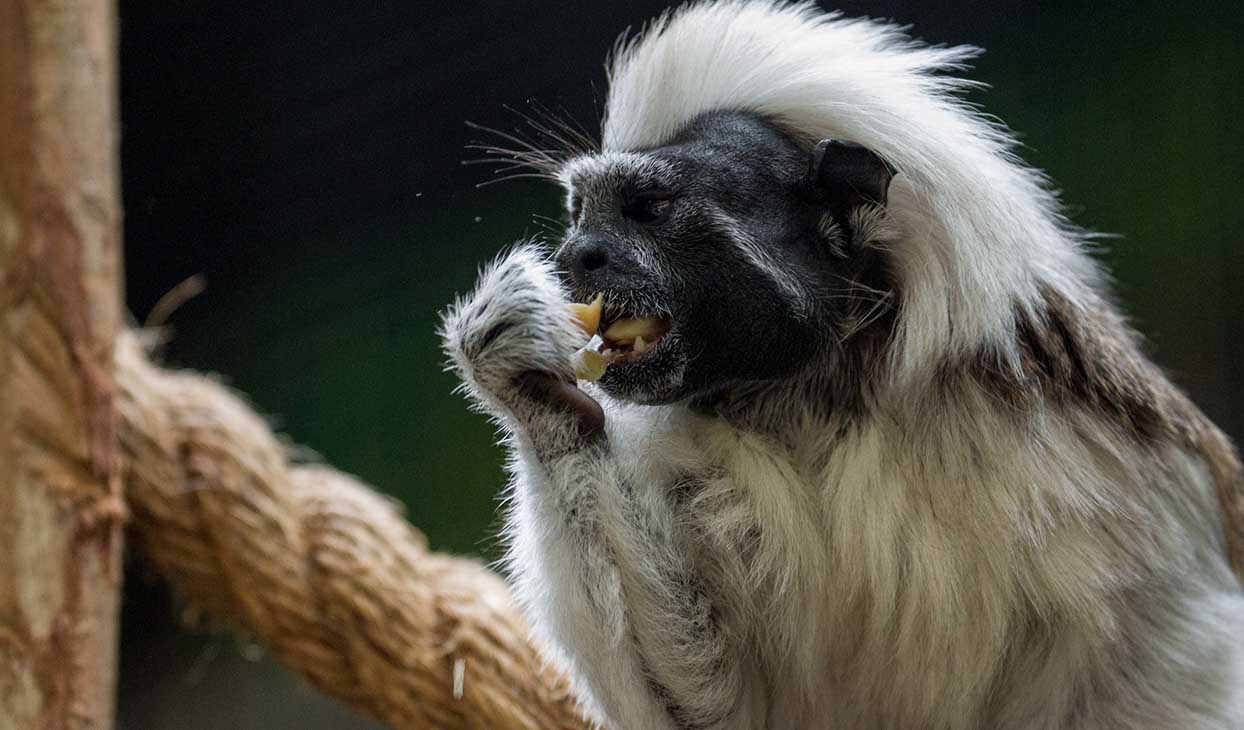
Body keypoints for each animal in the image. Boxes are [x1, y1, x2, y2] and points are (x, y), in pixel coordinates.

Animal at [440, 2, 1244, 726]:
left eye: (649, 207)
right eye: (581, 214)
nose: (578, 256)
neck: (821, 399)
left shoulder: (1101, 458)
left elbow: (1153, 669)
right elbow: (704, 696)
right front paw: (532, 390)